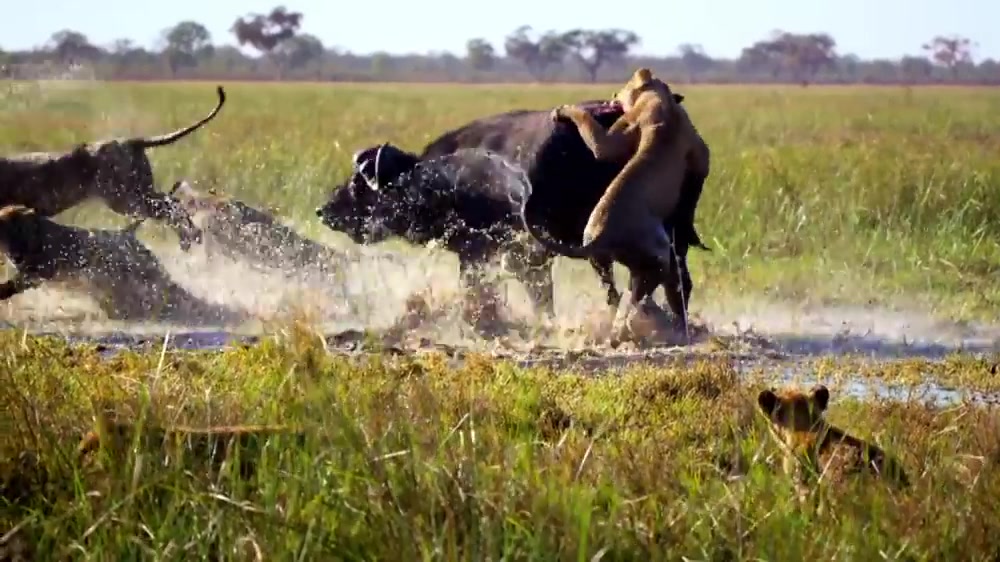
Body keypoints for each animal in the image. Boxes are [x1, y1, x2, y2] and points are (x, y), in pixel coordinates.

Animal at [316, 98, 708, 322]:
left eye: (359, 184)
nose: (324, 211)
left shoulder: (508, 254)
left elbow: (519, 294)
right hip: (662, 239)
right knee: (673, 281)